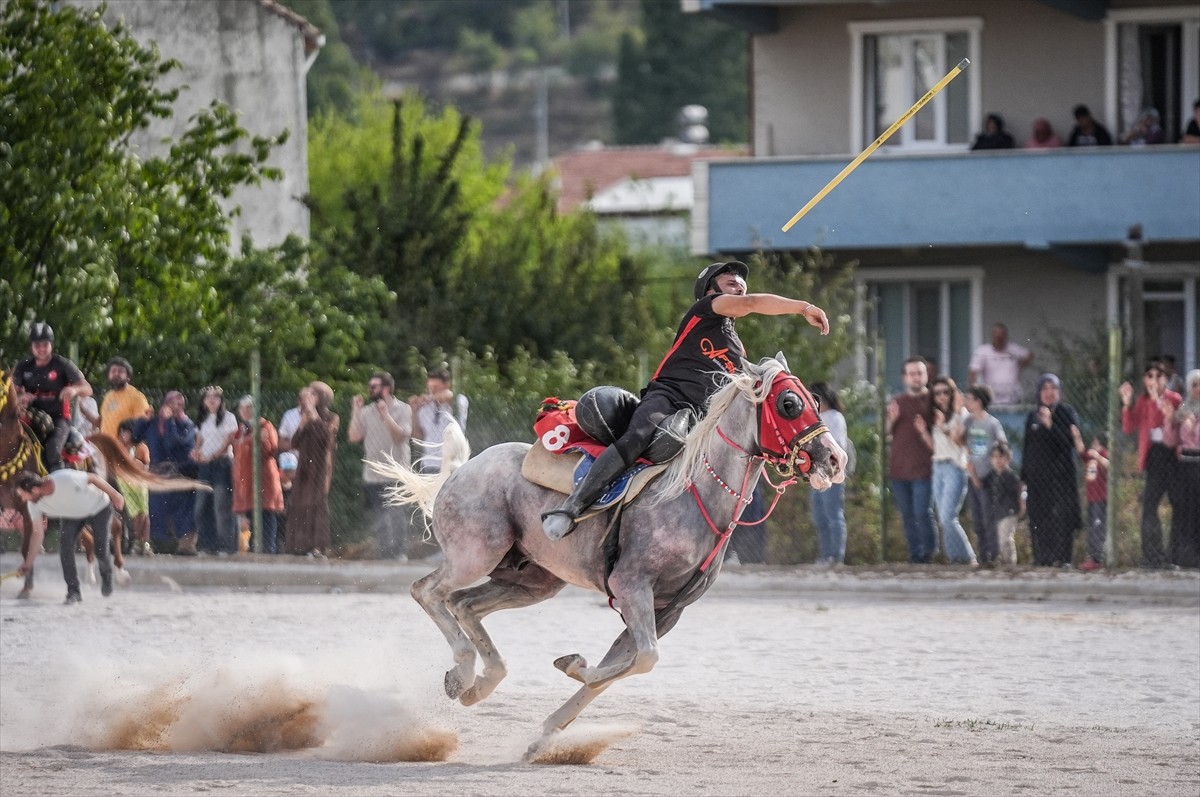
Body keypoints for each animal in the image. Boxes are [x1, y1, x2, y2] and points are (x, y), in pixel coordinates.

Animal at [374, 355, 844, 753]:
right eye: (789, 403)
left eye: (814, 401)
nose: (835, 459)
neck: (692, 494)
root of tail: (463, 469)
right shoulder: (631, 586)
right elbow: (643, 659)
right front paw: (570, 664)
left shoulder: (667, 611)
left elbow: (625, 665)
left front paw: (546, 735)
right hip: (475, 555)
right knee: (428, 592)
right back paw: (465, 668)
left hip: (532, 581)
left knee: (464, 605)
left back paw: (475, 682)